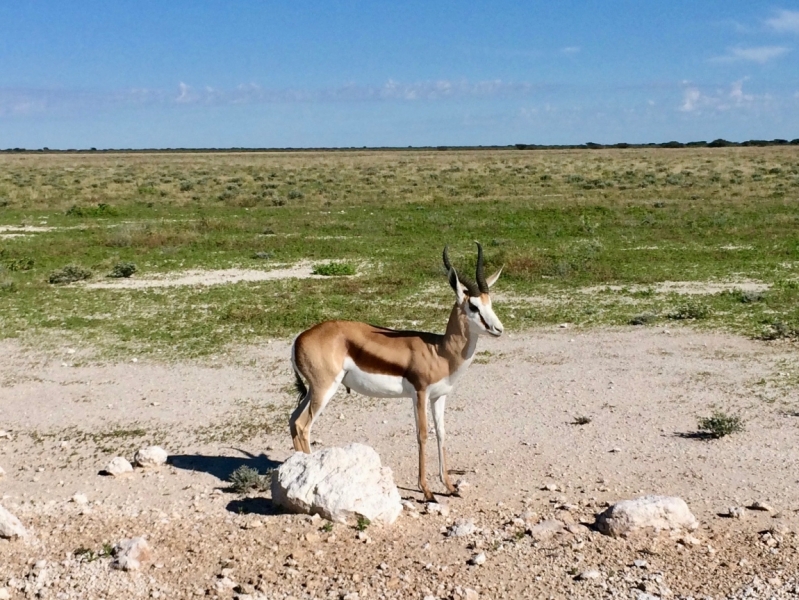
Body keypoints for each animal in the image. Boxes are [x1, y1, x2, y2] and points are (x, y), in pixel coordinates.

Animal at [290, 244, 504, 502]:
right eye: (473, 306)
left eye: (490, 302)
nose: (498, 329)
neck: (440, 352)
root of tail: (299, 338)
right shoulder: (420, 394)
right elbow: (422, 434)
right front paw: (427, 491)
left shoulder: (439, 396)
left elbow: (441, 433)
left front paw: (449, 487)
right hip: (324, 390)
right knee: (303, 426)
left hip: (313, 392)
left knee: (292, 421)